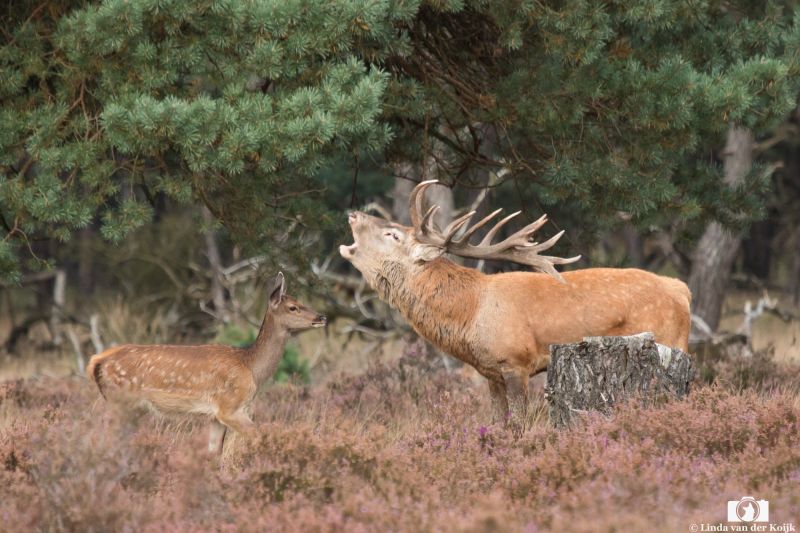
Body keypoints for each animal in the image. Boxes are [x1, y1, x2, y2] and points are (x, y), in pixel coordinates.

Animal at [87, 272, 326, 454]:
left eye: (301, 302)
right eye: (293, 307)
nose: (322, 317)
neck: (251, 367)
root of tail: (96, 361)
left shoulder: (215, 416)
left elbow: (213, 454)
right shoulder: (230, 407)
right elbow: (259, 435)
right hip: (122, 399)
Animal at [340, 180, 691, 432]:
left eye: (393, 234)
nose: (353, 213)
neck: (469, 315)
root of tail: (681, 289)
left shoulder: (515, 362)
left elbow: (519, 425)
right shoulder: (490, 372)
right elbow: (499, 424)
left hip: (669, 342)